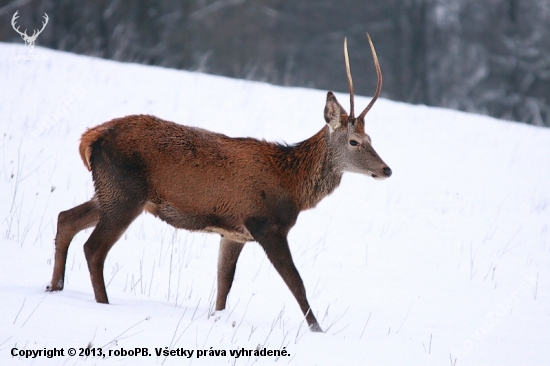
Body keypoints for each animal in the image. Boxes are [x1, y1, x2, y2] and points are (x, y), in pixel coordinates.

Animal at [48, 33, 392, 332]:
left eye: (371, 139)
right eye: (354, 141)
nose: (387, 169)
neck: (293, 187)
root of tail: (90, 139)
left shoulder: (234, 232)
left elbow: (224, 284)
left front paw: (218, 318)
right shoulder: (265, 223)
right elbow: (296, 283)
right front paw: (318, 330)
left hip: (111, 191)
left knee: (66, 218)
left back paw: (54, 286)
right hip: (125, 192)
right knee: (94, 247)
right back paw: (102, 304)